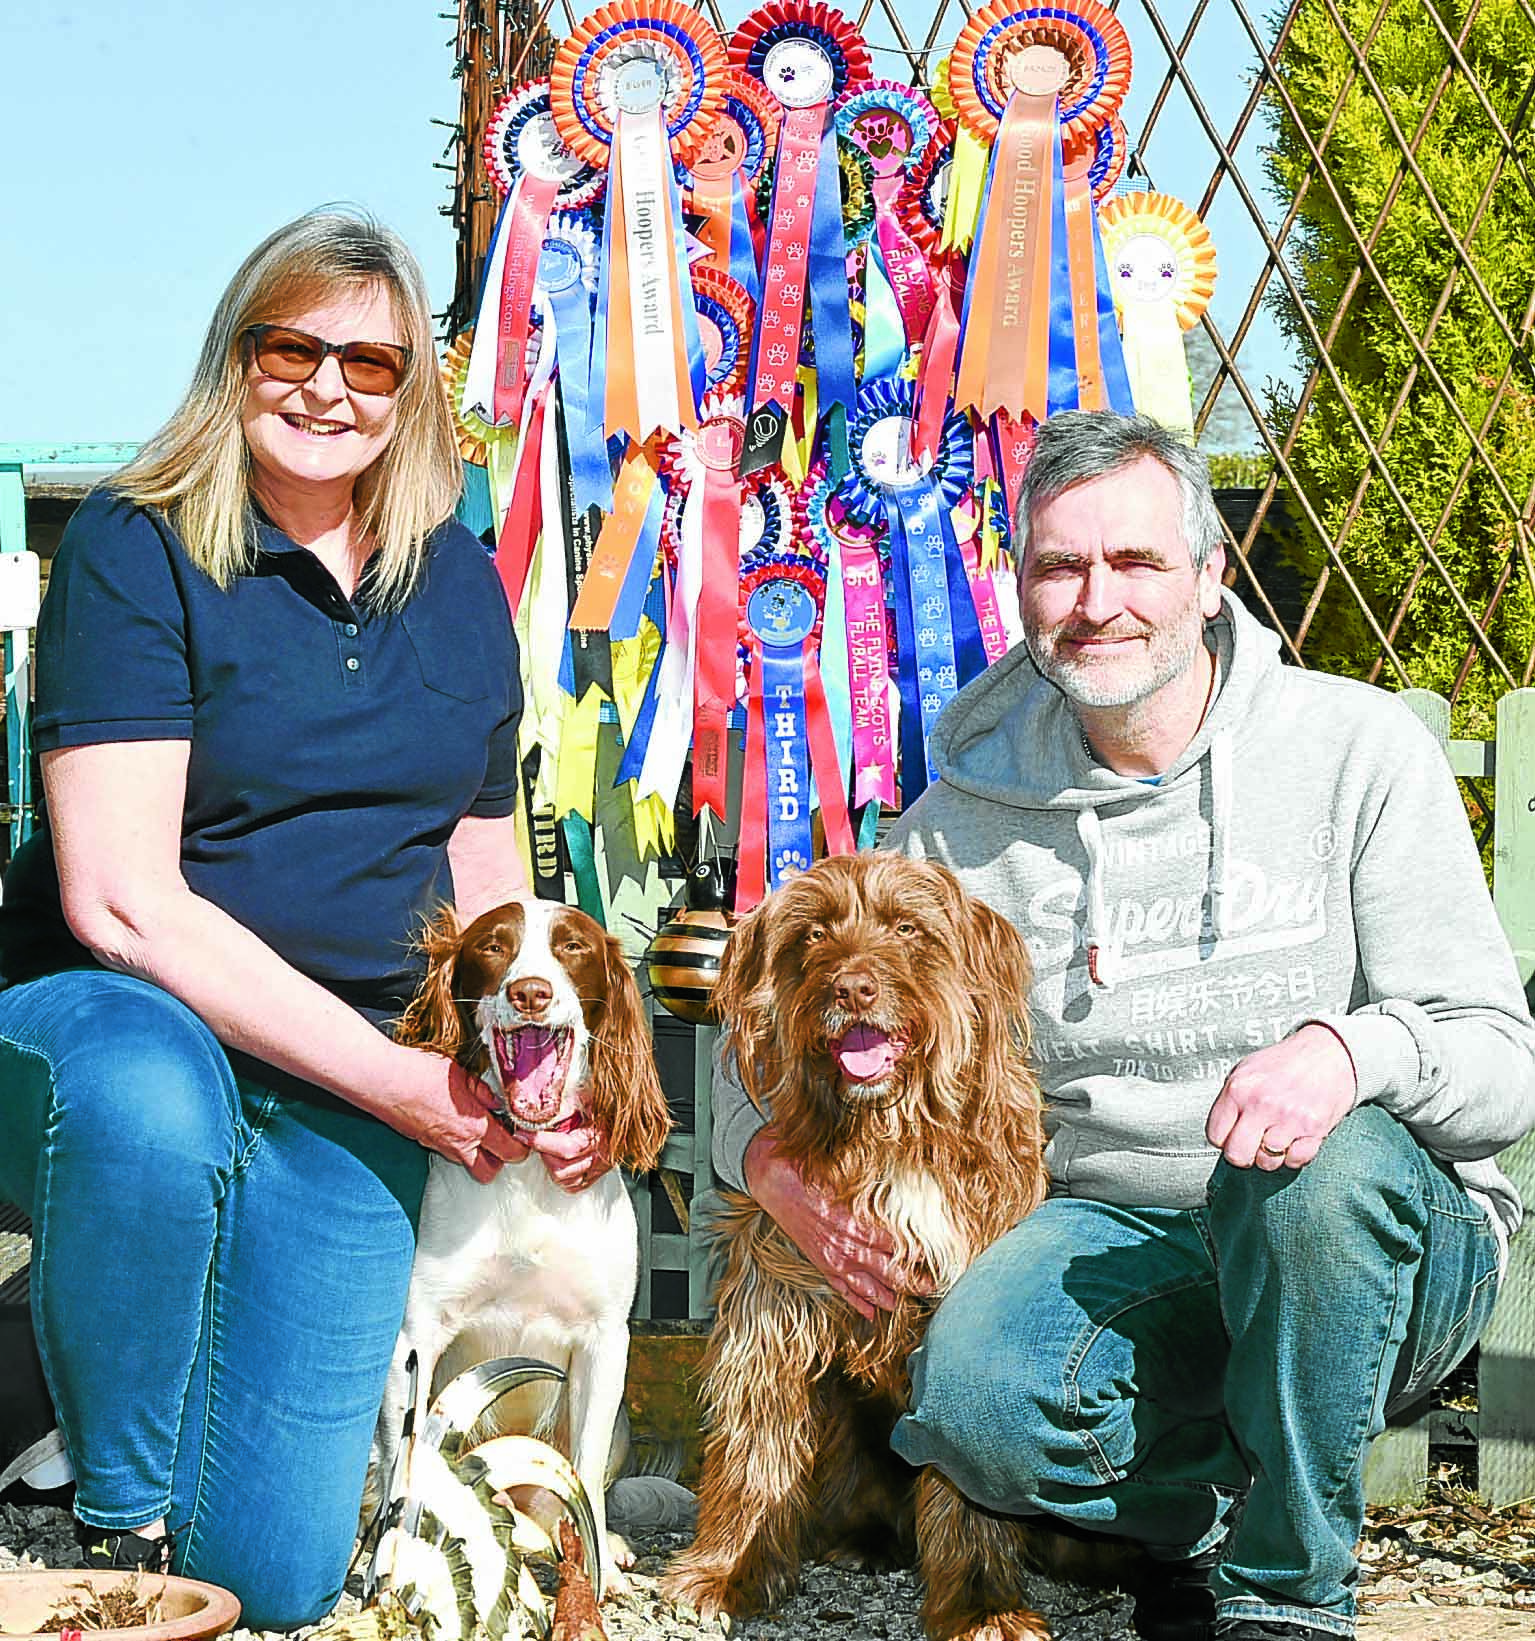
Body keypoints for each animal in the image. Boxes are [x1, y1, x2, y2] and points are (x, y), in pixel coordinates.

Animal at [669, 853, 1090, 1641]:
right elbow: (754, 1440)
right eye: (812, 932)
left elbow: (960, 1480)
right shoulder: (774, 1298)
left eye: (906, 928)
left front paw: (980, 1602)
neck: (885, 1131)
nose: (853, 988)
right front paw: (728, 1570)